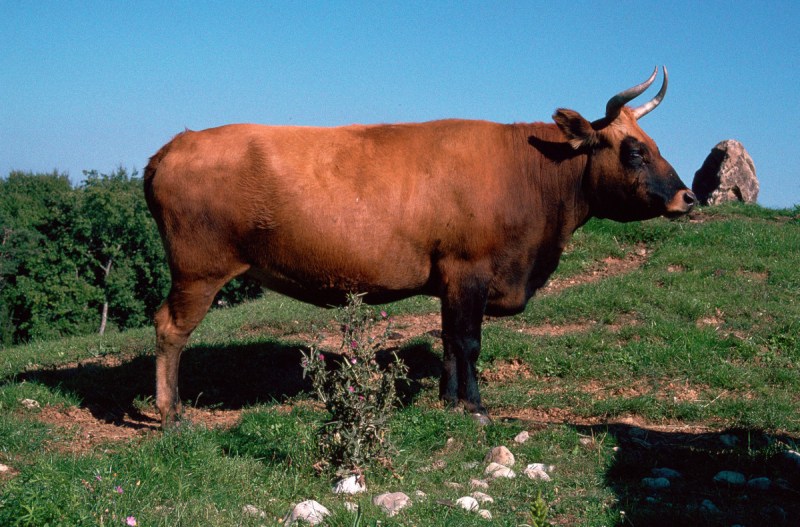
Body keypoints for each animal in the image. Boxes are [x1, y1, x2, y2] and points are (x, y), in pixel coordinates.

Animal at [144, 67, 692, 428]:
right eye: (634, 150)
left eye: (653, 144)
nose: (687, 197)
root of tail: (174, 145)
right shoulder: (470, 270)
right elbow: (469, 342)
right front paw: (476, 408)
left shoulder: (450, 280)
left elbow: (449, 341)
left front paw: (450, 401)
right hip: (198, 270)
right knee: (170, 328)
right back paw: (171, 415)